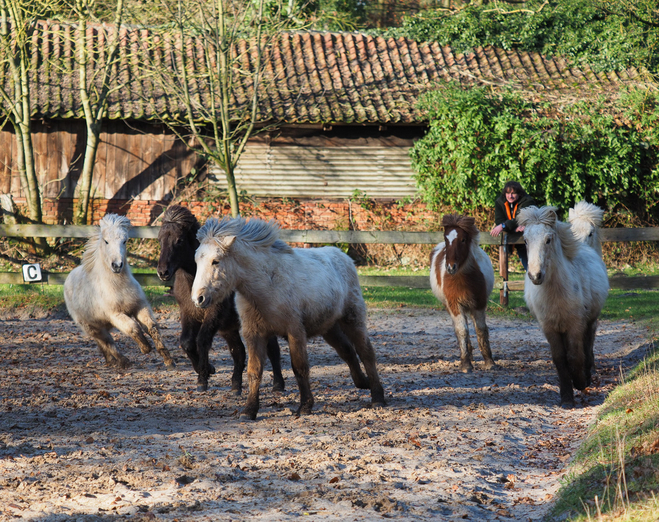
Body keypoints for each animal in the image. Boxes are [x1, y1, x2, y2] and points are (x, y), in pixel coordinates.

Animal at [62, 213, 174, 368]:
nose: (116, 265)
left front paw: (168, 360)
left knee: (103, 343)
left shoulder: (140, 306)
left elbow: (151, 327)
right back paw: (123, 361)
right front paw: (145, 348)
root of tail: (68, 278)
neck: (118, 286)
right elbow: (133, 327)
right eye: (106, 241)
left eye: (125, 241)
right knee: (107, 342)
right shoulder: (115, 315)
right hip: (91, 327)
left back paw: (110, 361)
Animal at [160, 205, 286, 392]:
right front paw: (206, 370)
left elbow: (202, 340)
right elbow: (187, 342)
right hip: (229, 328)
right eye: (160, 239)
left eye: (179, 240)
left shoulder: (214, 314)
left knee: (272, 349)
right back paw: (235, 385)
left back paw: (278, 384)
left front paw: (203, 377)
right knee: (239, 351)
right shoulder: (188, 313)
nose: (163, 272)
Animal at [191, 215, 386, 418]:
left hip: (352, 320)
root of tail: (345, 258)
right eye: (196, 261)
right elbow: (254, 371)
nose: (198, 298)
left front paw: (305, 406)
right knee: (347, 351)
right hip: (329, 328)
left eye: (216, 261)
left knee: (366, 353)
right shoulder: (254, 334)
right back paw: (362, 382)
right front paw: (249, 410)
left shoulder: (295, 331)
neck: (267, 285)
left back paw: (378, 397)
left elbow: (299, 367)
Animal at [430, 213, 498, 372]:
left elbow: (481, 330)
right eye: (446, 239)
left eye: (463, 239)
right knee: (460, 328)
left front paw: (489, 362)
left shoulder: (479, 304)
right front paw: (466, 364)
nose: (450, 267)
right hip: (449, 306)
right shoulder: (455, 305)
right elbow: (462, 331)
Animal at [520, 204, 608, 406]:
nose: (535, 275)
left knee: (587, 345)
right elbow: (560, 359)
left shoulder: (575, 325)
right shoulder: (550, 328)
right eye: (526, 241)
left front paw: (581, 382)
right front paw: (566, 397)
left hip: (590, 321)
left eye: (548, 240)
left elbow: (575, 355)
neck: (556, 292)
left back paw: (588, 373)